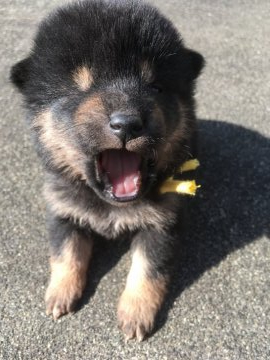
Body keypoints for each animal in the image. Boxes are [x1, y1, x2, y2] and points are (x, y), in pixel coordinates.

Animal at [11, 0, 204, 342]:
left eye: (156, 87)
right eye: (78, 88)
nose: (127, 123)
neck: (110, 205)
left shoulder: (164, 220)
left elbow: (148, 268)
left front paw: (136, 313)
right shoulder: (62, 207)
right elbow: (65, 253)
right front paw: (60, 293)